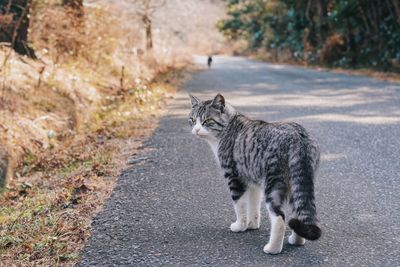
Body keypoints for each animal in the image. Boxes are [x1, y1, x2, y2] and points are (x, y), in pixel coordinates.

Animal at [188, 94, 322, 255]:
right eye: (192, 120)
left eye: (207, 121)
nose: (196, 130)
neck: (228, 127)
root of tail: (298, 138)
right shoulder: (252, 180)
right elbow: (253, 205)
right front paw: (252, 224)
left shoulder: (234, 177)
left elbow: (239, 205)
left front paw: (240, 225)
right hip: (297, 184)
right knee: (299, 214)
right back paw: (296, 241)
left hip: (274, 184)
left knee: (279, 218)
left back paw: (272, 248)